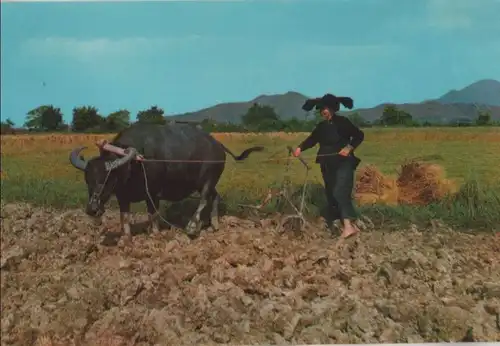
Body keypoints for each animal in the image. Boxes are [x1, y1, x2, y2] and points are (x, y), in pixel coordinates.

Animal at [70, 123, 266, 239]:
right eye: (88, 179)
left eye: (107, 177)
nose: (92, 209)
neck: (135, 164)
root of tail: (218, 145)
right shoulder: (122, 197)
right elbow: (124, 217)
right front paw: (125, 238)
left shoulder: (153, 193)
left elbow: (153, 214)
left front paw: (155, 234)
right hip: (204, 181)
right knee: (214, 197)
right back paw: (214, 223)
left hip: (209, 178)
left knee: (204, 199)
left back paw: (192, 226)